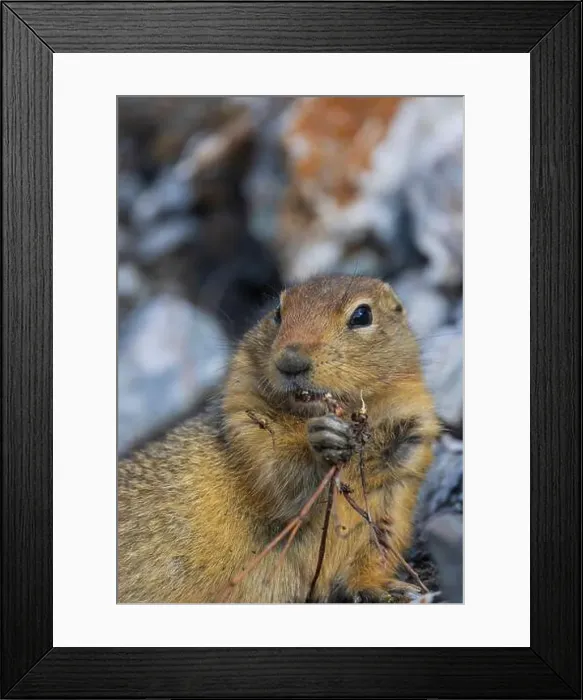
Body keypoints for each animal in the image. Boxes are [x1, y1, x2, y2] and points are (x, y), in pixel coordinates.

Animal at [118, 275, 440, 603]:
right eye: (277, 313)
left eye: (362, 315)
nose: (291, 362)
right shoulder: (246, 428)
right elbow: (281, 477)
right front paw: (322, 441)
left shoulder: (405, 460)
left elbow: (381, 538)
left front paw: (388, 587)